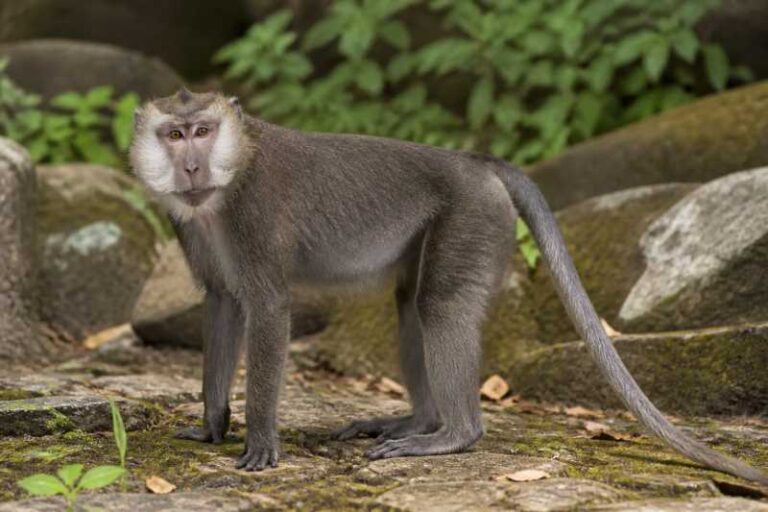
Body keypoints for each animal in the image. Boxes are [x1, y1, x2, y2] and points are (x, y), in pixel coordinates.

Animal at [129, 88, 768, 484]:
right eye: (174, 134)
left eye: (203, 131)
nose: (191, 166)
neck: (224, 184)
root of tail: (473, 161)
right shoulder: (193, 227)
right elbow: (223, 305)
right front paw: (212, 426)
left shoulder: (254, 214)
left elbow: (266, 307)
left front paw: (260, 442)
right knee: (411, 304)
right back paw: (419, 421)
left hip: (472, 216)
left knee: (437, 306)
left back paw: (453, 435)